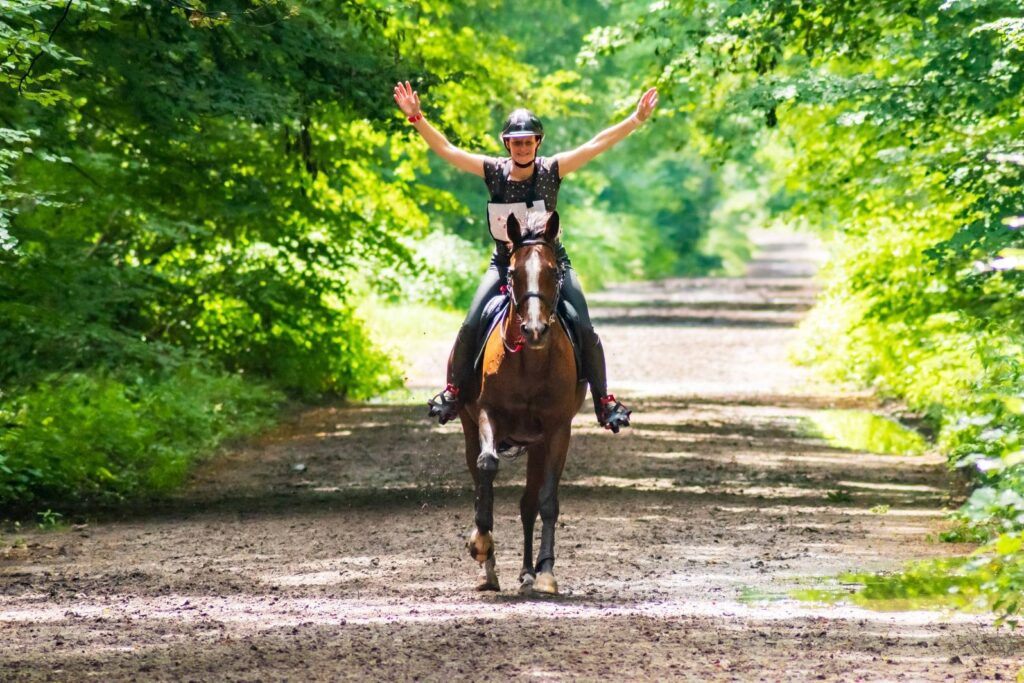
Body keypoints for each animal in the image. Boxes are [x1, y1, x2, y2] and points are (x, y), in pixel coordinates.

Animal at [456, 210, 585, 593]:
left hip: (538, 443)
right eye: (512, 273)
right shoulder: (488, 414)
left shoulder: (557, 430)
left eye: (553, 272)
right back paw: (488, 571)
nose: (534, 329)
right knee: (480, 481)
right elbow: (487, 466)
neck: (530, 361)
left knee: (528, 503)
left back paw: (528, 571)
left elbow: (547, 501)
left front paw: (546, 573)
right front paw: (481, 544)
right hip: (469, 426)